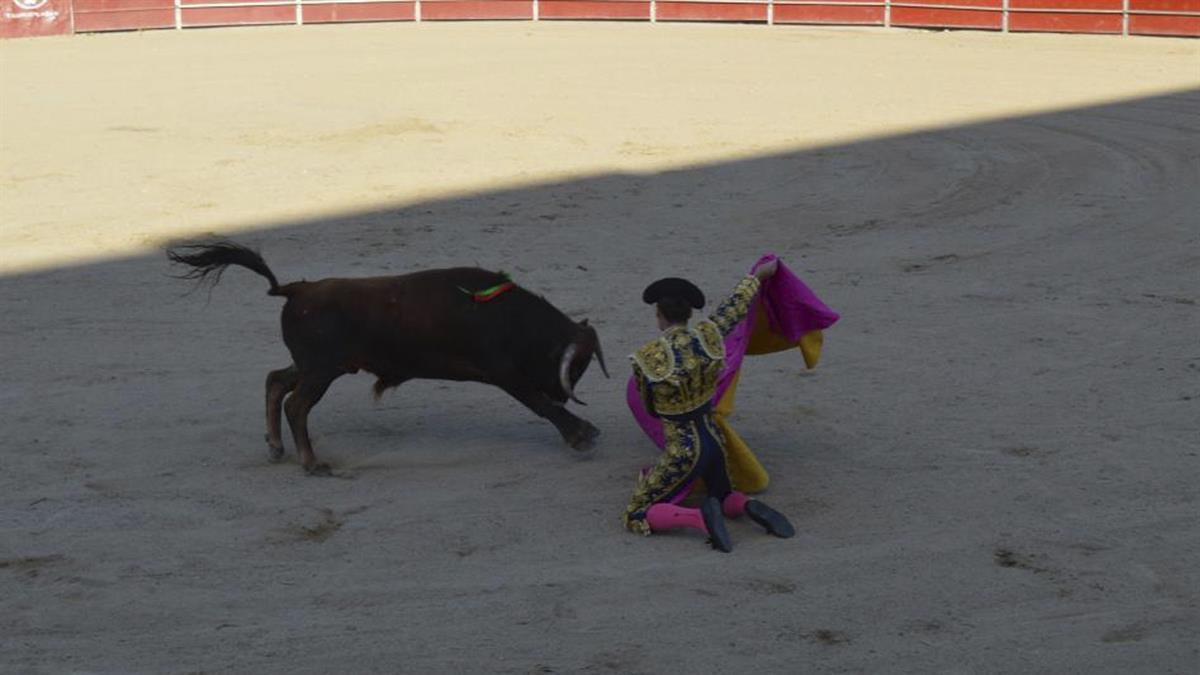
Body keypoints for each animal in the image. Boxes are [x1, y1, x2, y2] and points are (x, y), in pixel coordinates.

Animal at [166, 240, 609, 473]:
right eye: (576, 367)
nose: (563, 392)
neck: (509, 316)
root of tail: (295, 289)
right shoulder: (503, 372)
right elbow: (539, 405)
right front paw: (581, 434)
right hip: (321, 371)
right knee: (297, 404)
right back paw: (311, 463)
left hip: (316, 366)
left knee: (276, 380)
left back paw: (276, 447)